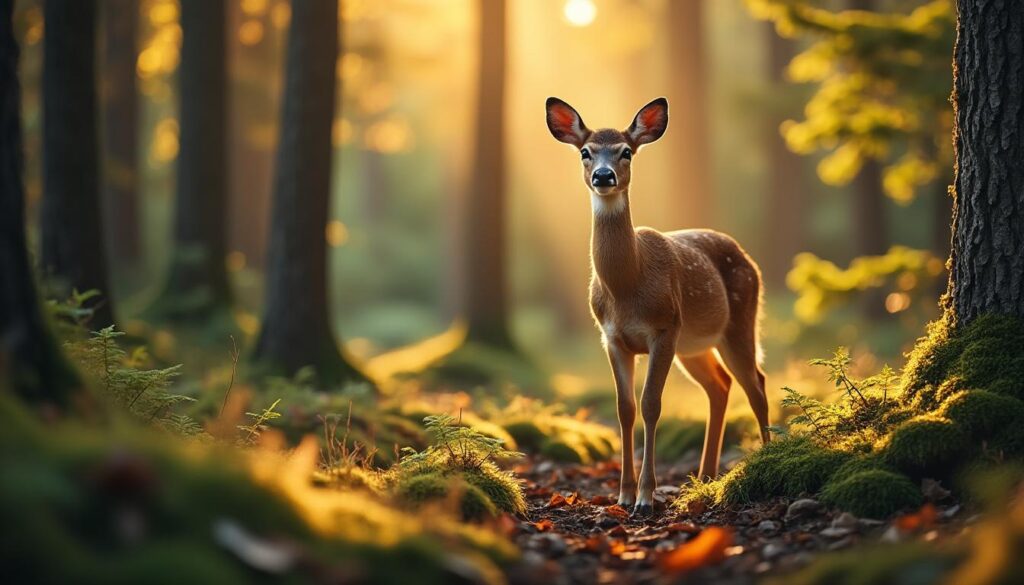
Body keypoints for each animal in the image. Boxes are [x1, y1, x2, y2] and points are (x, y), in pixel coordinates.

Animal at [545, 97, 771, 515]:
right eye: (585, 152)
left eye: (626, 152)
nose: (603, 176)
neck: (626, 287)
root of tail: (748, 257)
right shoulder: (612, 338)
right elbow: (625, 408)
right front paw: (623, 494)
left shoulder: (664, 328)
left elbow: (651, 405)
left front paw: (646, 498)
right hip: (693, 346)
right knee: (720, 385)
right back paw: (705, 476)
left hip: (739, 321)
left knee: (756, 382)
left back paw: (766, 457)